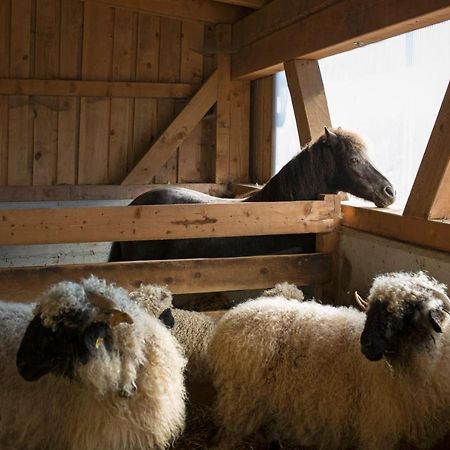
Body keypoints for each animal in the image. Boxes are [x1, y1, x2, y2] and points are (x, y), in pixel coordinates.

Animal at [209, 270, 450, 450]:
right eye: (372, 308)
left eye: (409, 310)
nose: (366, 345)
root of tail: (238, 312)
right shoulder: (378, 429)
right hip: (240, 398)